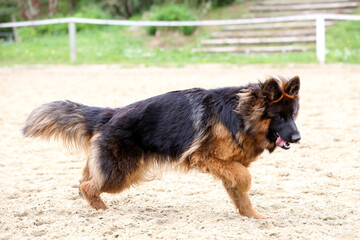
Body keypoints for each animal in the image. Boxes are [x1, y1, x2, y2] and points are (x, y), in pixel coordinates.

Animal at [21, 75, 300, 219]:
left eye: (294, 114)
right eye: (279, 116)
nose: (298, 137)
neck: (240, 114)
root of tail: (111, 114)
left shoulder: (228, 164)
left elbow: (239, 191)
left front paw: (253, 217)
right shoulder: (207, 158)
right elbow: (244, 178)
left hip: (117, 170)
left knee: (84, 180)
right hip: (121, 173)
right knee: (88, 186)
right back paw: (104, 211)